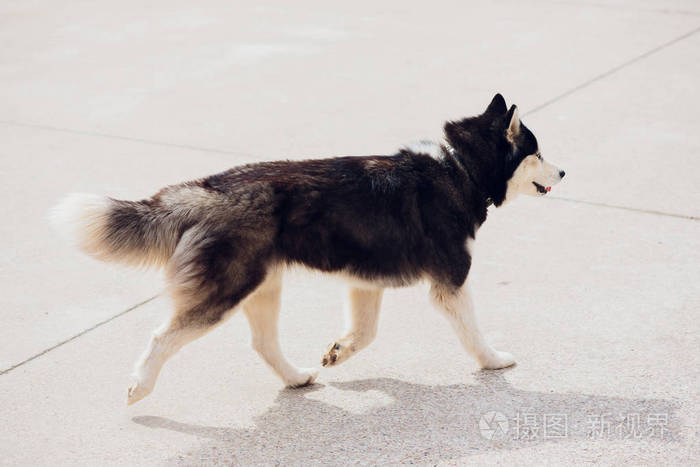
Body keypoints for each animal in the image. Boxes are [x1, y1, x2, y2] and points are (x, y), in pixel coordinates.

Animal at [50, 93, 564, 404]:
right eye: (537, 153)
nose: (564, 173)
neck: (459, 166)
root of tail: (206, 188)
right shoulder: (452, 280)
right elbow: (472, 332)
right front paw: (493, 360)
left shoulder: (366, 281)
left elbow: (365, 333)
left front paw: (338, 352)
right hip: (227, 290)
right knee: (163, 337)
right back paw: (139, 385)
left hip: (264, 286)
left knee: (261, 342)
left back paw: (295, 377)